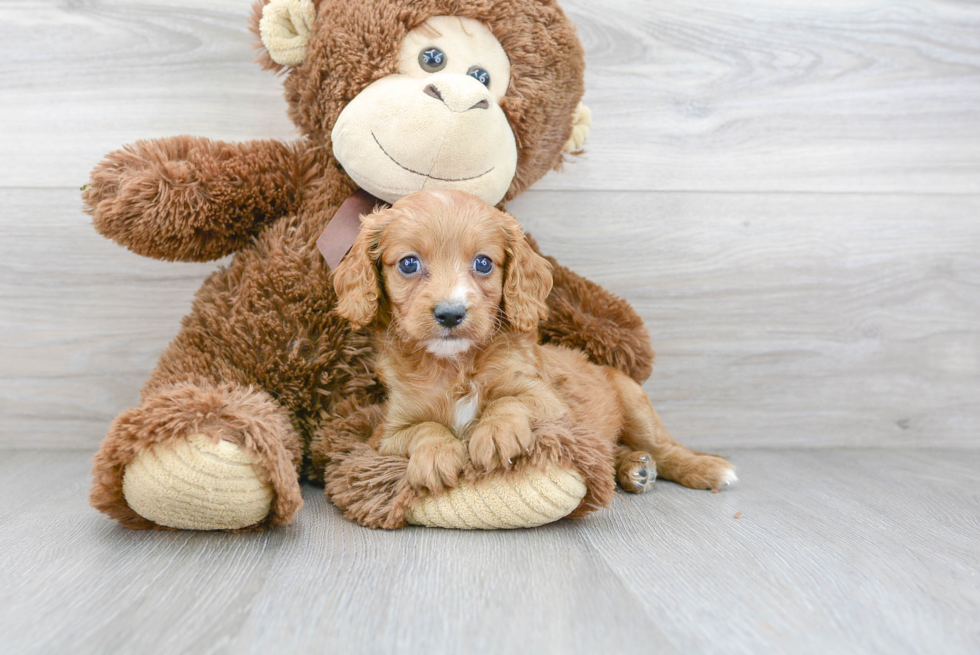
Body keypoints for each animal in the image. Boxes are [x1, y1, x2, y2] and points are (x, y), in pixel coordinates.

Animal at [332, 190, 736, 498]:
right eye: (409, 264)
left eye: (483, 263)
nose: (450, 314)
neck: (456, 365)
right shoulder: (387, 434)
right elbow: (423, 429)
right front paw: (435, 454)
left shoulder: (551, 403)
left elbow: (511, 400)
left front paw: (496, 432)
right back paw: (633, 467)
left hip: (633, 400)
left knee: (665, 448)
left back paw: (705, 468)